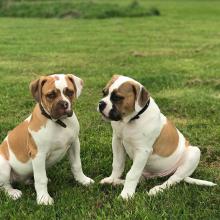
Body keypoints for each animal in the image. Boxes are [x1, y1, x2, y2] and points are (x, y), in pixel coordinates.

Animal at [0, 73, 93, 205]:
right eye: (51, 95)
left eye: (69, 92)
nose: (64, 104)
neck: (59, 123)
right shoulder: (38, 154)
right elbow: (40, 179)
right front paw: (43, 198)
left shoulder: (74, 144)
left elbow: (77, 165)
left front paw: (83, 180)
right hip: (4, 167)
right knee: (4, 185)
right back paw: (13, 193)